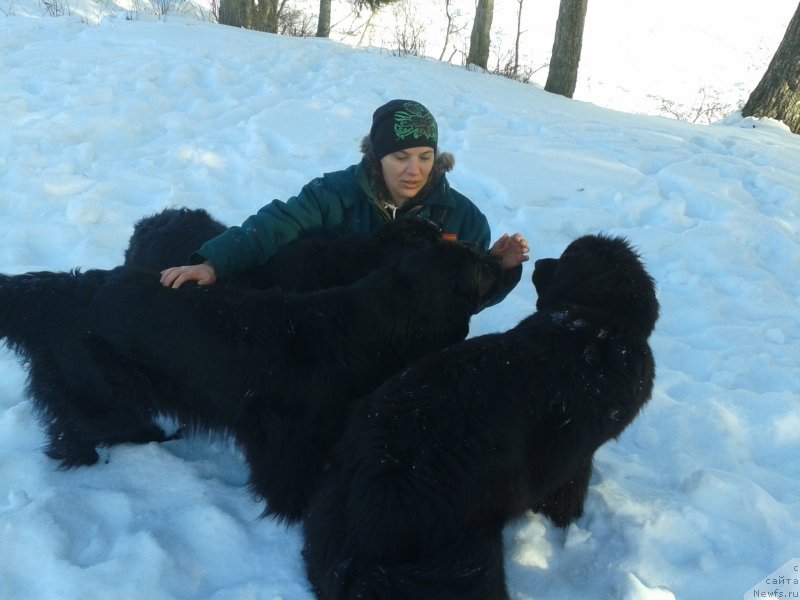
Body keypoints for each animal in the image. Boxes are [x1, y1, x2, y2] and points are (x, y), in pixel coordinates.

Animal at [0, 234, 500, 520]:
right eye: (475, 263)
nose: (501, 257)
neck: (363, 332)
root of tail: (62, 290)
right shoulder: (284, 433)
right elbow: (289, 479)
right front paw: (297, 513)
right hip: (101, 390)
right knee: (76, 429)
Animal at [304, 234, 660, 600]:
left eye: (563, 258)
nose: (540, 262)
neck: (597, 318)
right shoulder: (575, 457)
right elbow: (569, 492)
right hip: (469, 558)